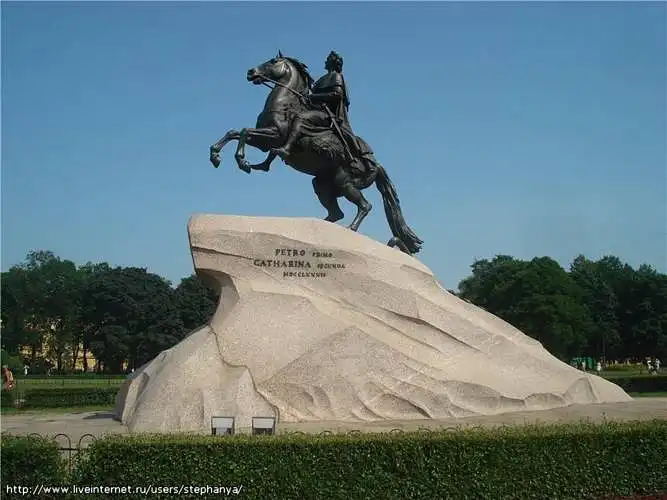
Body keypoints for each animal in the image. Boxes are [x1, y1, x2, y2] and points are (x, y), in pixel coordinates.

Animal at [206, 54, 422, 254]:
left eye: (272, 61)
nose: (251, 72)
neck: (285, 103)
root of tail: (376, 165)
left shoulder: (274, 136)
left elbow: (244, 132)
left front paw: (242, 161)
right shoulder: (263, 142)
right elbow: (234, 132)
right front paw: (216, 156)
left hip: (345, 182)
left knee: (365, 206)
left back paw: (350, 229)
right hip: (322, 183)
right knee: (336, 213)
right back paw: (317, 227)